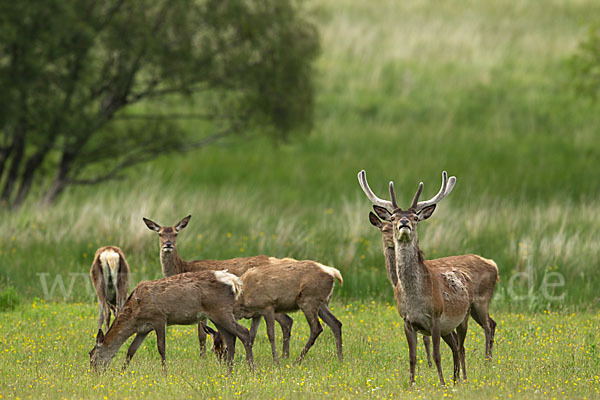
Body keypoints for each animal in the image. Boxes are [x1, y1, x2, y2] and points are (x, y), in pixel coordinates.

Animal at [88, 268, 252, 372]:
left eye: (92, 357)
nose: (94, 374)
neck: (135, 312)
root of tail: (235, 282)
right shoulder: (143, 328)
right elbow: (131, 350)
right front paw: (122, 372)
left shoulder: (159, 318)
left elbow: (161, 348)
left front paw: (165, 373)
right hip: (218, 315)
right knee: (231, 339)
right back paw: (229, 372)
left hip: (220, 310)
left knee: (244, 332)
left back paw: (251, 369)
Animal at [144, 216, 298, 360]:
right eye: (160, 234)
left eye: (176, 233)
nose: (168, 244)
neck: (183, 268)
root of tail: (276, 260)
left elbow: (201, 334)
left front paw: (203, 357)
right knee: (287, 321)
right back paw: (284, 356)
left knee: (286, 321)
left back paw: (283, 356)